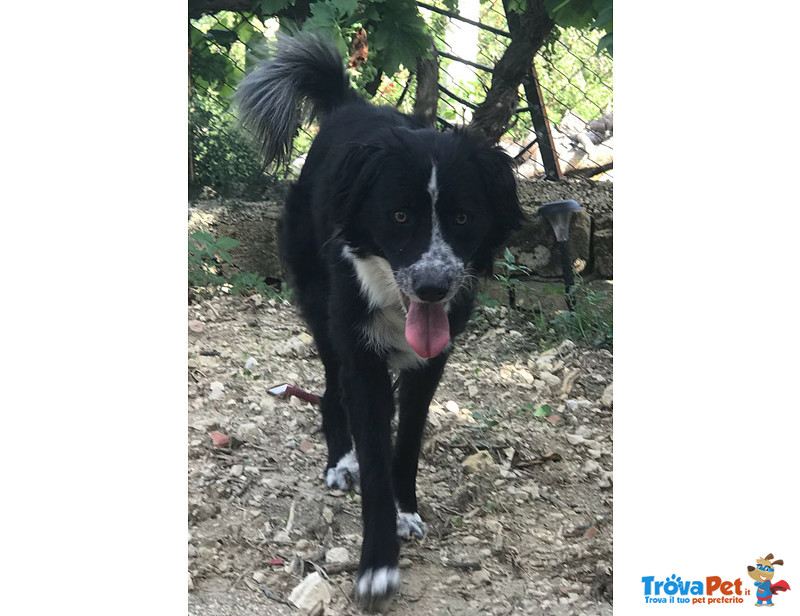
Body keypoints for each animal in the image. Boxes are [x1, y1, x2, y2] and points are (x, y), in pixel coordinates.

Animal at [238, 32, 524, 608]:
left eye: (464, 217)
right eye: (399, 215)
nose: (434, 287)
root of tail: (350, 104)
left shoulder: (430, 361)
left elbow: (406, 441)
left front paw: (404, 509)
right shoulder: (362, 357)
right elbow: (373, 457)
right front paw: (377, 562)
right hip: (324, 318)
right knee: (330, 395)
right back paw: (339, 463)